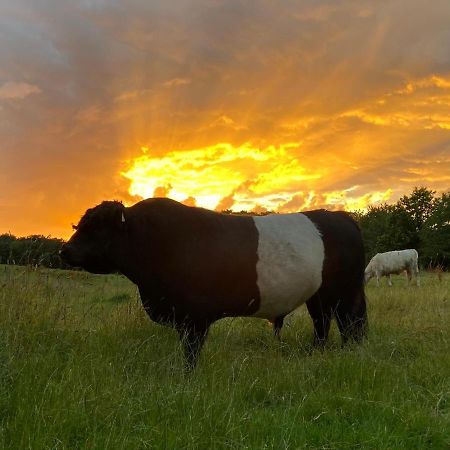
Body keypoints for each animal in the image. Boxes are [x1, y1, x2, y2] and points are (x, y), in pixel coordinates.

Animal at [59, 199, 368, 368]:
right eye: (79, 225)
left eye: (97, 228)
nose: (64, 251)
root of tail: (342, 217)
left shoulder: (194, 318)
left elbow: (191, 354)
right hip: (318, 296)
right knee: (323, 325)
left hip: (344, 293)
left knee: (350, 325)